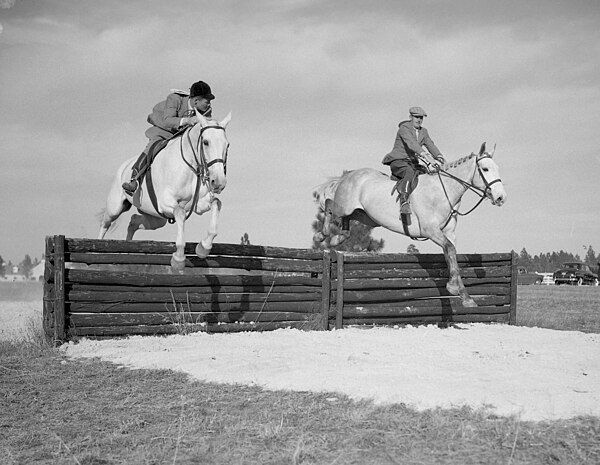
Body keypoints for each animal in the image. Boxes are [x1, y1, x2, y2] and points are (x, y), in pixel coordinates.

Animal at [99, 112, 231, 270]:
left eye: (227, 145)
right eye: (206, 142)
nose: (219, 182)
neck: (190, 165)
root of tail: (124, 165)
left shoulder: (197, 204)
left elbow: (216, 203)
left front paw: (203, 248)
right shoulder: (166, 202)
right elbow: (180, 213)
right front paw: (178, 259)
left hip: (156, 217)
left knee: (134, 221)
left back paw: (128, 248)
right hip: (116, 207)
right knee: (105, 223)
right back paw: (98, 248)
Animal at [314, 143, 506, 306]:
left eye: (497, 169)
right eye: (485, 169)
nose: (501, 198)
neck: (443, 191)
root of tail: (349, 175)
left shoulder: (448, 233)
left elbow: (451, 255)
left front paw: (462, 294)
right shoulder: (431, 231)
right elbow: (450, 250)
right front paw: (456, 290)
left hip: (365, 216)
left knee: (345, 221)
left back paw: (337, 238)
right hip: (345, 206)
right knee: (330, 205)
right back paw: (321, 235)